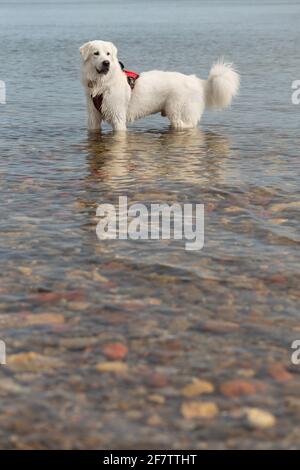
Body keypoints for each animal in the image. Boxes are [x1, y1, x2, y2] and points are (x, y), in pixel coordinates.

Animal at [79, 39, 239, 131]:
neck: (102, 84)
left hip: (177, 112)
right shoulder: (93, 118)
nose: (106, 63)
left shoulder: (118, 117)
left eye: (108, 54)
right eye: (96, 53)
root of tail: (198, 81)